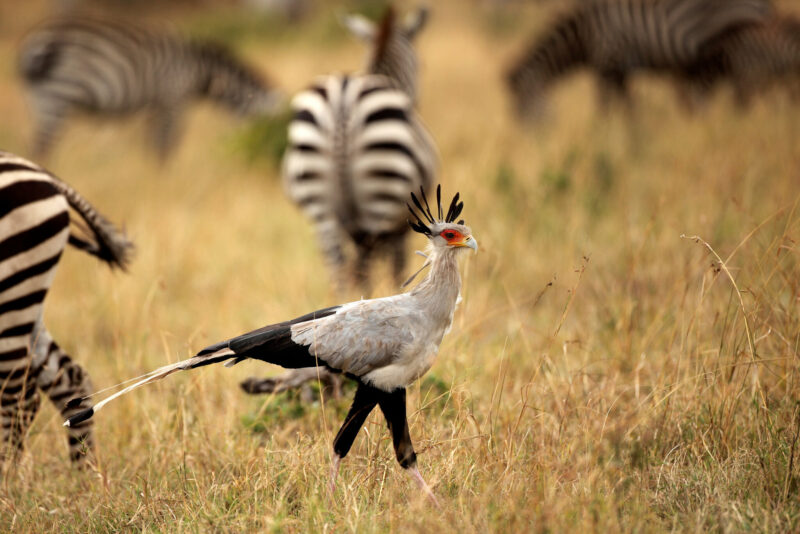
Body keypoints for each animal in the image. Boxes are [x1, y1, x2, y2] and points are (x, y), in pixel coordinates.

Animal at [0, 150, 132, 464]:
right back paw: (84, 473)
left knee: (18, 398)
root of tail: (45, 175)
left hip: (14, 288)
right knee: (69, 379)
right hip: (26, 296)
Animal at [18, 16, 284, 161]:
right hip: (59, 92)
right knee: (42, 146)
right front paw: (164, 181)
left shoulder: (155, 105)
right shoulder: (174, 98)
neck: (200, 68)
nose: (260, 145)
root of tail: (38, 37)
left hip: (40, 96)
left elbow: (151, 144)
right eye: (265, 122)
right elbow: (167, 145)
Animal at [282, 6, 437, 293]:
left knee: (340, 268)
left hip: (320, 207)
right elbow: (397, 269)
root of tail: (342, 99)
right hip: (381, 192)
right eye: (421, 64)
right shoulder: (403, 223)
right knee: (364, 262)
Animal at [505, 0, 773, 120]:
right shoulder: (620, 71)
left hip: (740, 48)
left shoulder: (608, 65)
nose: (531, 144)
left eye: (522, 107)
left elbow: (606, 109)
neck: (584, 33)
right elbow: (629, 110)